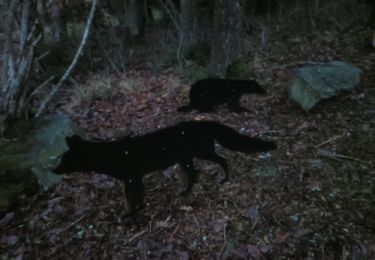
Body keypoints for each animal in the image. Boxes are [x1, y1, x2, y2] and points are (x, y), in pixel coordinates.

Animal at [53, 121, 276, 216]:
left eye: (64, 159)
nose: (53, 171)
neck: (108, 155)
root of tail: (206, 121)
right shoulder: (133, 179)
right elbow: (134, 198)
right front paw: (133, 211)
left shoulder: (132, 179)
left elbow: (134, 199)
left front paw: (130, 215)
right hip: (187, 159)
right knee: (194, 175)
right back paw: (184, 192)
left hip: (201, 153)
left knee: (222, 161)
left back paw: (223, 179)